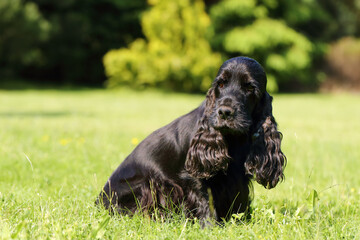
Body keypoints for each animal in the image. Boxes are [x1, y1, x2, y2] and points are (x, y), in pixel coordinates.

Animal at [96, 56, 286, 221]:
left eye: (250, 88)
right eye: (221, 84)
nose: (224, 112)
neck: (233, 139)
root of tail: (99, 201)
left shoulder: (238, 180)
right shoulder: (194, 177)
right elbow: (204, 202)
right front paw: (209, 227)